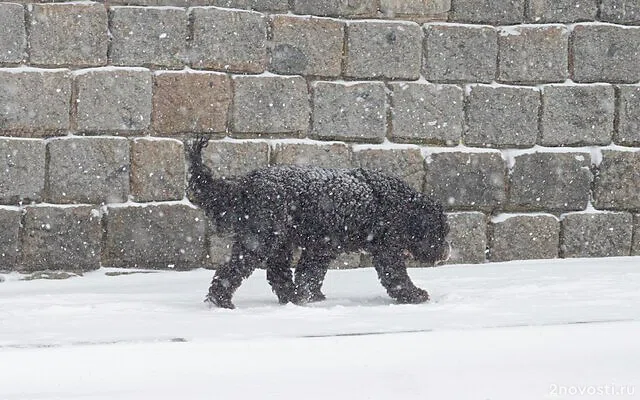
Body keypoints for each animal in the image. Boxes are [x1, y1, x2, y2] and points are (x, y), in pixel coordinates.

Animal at [188, 138, 450, 310]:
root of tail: (247, 182)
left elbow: (309, 273)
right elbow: (396, 276)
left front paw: (310, 296)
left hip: (281, 242)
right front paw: (414, 295)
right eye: (440, 232)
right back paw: (221, 301)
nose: (447, 251)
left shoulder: (322, 247)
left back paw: (291, 298)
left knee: (278, 273)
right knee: (231, 269)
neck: (403, 207)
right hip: (260, 239)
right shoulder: (386, 250)